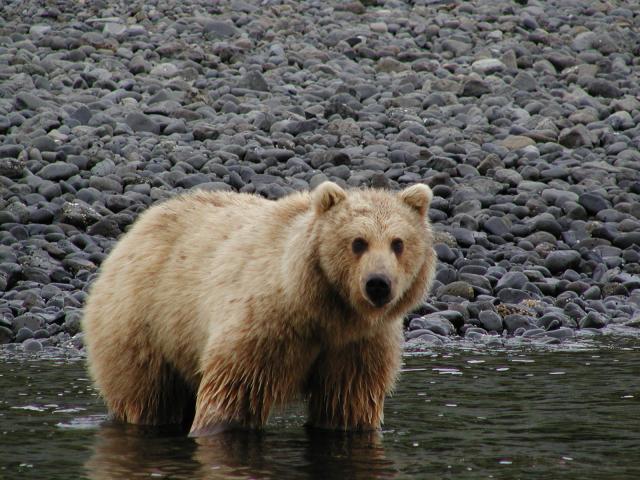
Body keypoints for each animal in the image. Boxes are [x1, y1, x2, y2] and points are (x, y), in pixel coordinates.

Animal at [81, 181, 436, 436]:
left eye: (398, 243)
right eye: (358, 242)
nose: (378, 284)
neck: (325, 310)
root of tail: (137, 228)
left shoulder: (357, 346)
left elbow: (347, 402)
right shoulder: (266, 325)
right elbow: (235, 393)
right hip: (142, 320)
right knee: (145, 394)